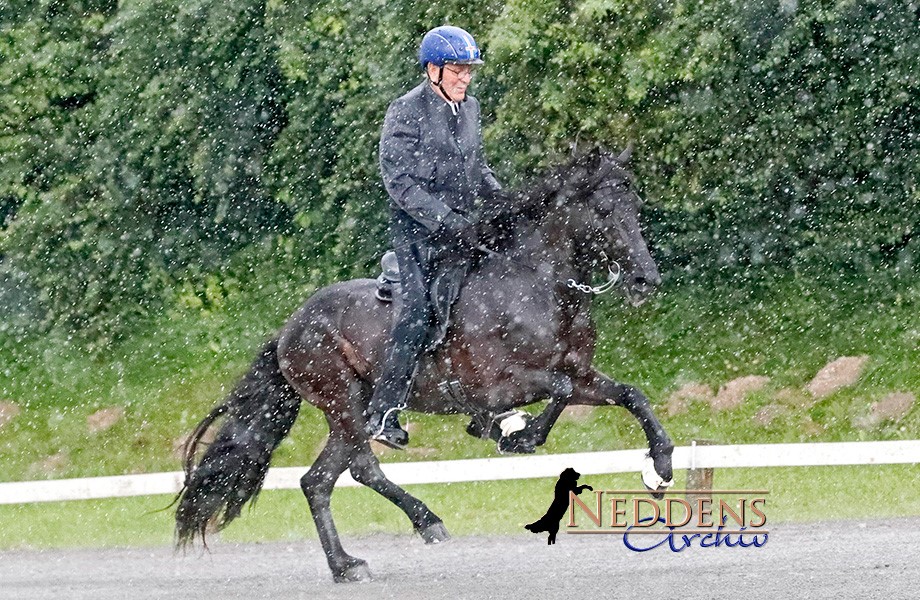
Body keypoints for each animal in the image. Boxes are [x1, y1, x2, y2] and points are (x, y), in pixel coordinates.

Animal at [174, 148, 676, 584]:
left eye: (634, 204)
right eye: (605, 211)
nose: (644, 281)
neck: (537, 285)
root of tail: (287, 330)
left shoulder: (580, 372)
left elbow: (628, 394)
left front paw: (660, 467)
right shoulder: (496, 386)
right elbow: (559, 392)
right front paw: (516, 435)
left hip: (348, 411)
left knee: (332, 477)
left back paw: (378, 547)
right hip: (343, 402)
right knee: (344, 474)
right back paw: (385, 544)